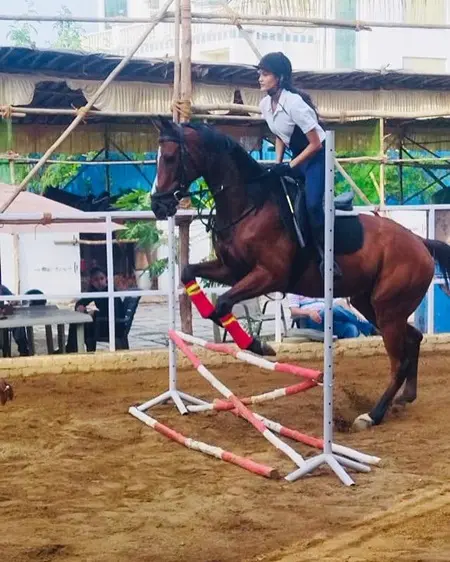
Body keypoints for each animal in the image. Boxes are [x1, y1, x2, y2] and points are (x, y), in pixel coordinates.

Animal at [152, 116, 450, 426]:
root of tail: (420, 243)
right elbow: (189, 274)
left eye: (170, 157)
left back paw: (373, 414)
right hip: (370, 304)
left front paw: (257, 345)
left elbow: (222, 302)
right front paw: (236, 332)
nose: (158, 204)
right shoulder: (232, 270)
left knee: (399, 361)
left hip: (388, 309)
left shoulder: (268, 275)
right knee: (414, 339)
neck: (250, 204)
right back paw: (405, 397)